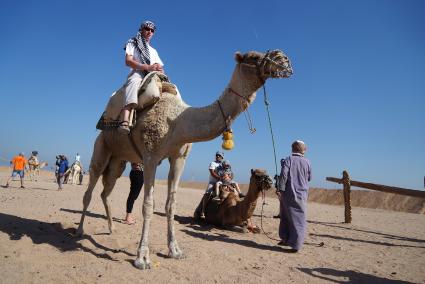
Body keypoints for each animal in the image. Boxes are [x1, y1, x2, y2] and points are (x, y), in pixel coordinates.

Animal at [76, 48, 292, 268]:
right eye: (253, 57)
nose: (284, 60)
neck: (178, 122)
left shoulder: (179, 158)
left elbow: (171, 205)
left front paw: (175, 251)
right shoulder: (150, 156)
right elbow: (148, 205)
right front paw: (142, 258)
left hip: (118, 161)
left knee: (106, 191)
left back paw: (111, 228)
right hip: (101, 148)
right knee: (89, 190)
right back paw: (79, 231)